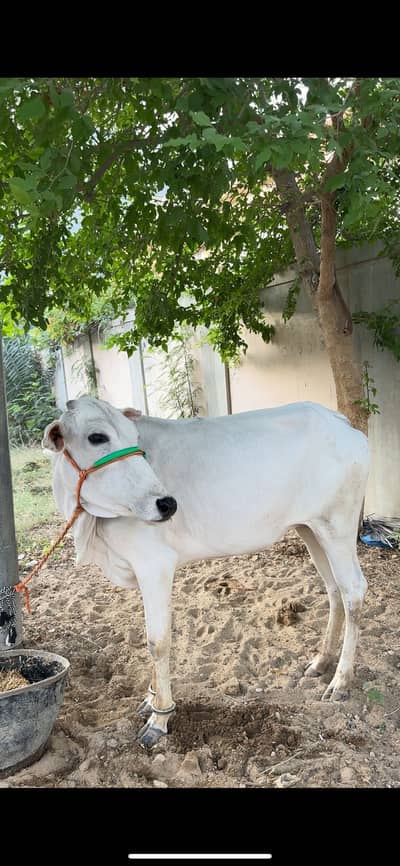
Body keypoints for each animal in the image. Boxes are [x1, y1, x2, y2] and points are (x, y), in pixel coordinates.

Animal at [43, 396, 370, 748]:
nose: (167, 504)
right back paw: (321, 662)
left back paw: (341, 681)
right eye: (96, 437)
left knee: (353, 590)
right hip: (310, 529)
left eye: (133, 436)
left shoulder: (154, 564)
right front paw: (149, 699)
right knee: (334, 590)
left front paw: (159, 718)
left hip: (337, 527)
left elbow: (157, 641)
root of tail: (343, 424)